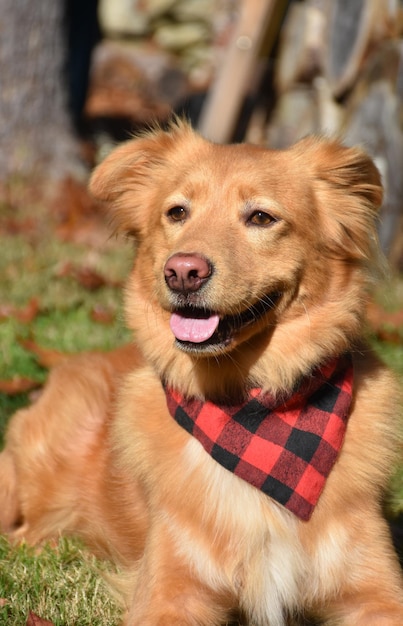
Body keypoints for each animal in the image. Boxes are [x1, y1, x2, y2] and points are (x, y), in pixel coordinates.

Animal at [0, 119, 403, 620]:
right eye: (177, 212)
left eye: (261, 218)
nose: (182, 271)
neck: (248, 409)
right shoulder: (170, 591)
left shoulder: (377, 592)